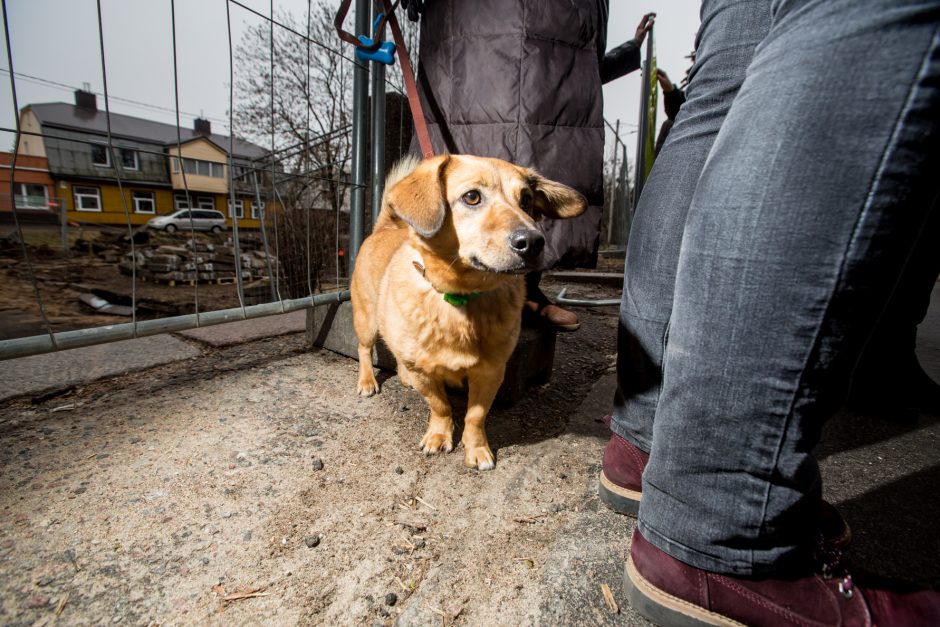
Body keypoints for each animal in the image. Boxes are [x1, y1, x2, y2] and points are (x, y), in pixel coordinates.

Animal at [352, 156, 588, 472]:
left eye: (526, 200)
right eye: (472, 197)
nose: (533, 243)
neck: (461, 296)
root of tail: (385, 229)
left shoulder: (491, 372)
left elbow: (475, 416)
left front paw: (476, 449)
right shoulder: (428, 374)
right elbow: (440, 406)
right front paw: (439, 435)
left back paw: (404, 377)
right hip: (366, 320)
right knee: (365, 349)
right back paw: (367, 380)